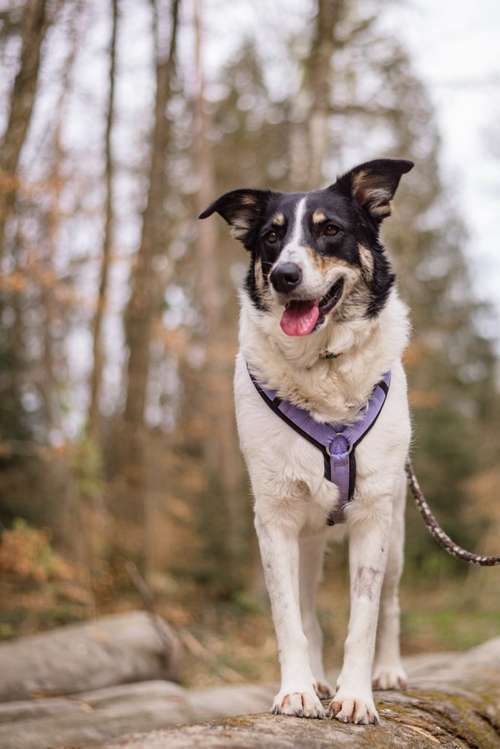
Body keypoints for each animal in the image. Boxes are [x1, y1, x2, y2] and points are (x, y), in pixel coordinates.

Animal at [199, 159, 414, 724]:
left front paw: (356, 694)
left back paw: (388, 671)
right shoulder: (274, 518)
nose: (284, 276)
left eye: (330, 229)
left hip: (398, 530)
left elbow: (364, 619)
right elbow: (288, 618)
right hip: (307, 540)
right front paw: (297, 689)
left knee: (390, 602)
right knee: (309, 609)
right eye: (272, 237)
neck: (323, 367)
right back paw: (315, 678)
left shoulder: (373, 516)